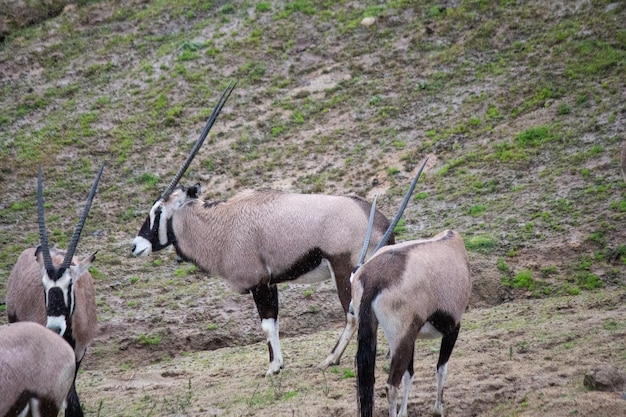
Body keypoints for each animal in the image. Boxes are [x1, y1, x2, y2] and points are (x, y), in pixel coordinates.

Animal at [130, 81, 394, 374]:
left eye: (158, 211)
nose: (135, 246)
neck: (220, 224)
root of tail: (378, 219)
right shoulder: (270, 284)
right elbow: (274, 325)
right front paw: (276, 364)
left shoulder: (260, 284)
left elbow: (267, 326)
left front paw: (274, 367)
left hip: (344, 271)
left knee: (352, 315)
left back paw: (330, 359)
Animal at [348, 194, 470, 416]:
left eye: (351, 280)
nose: (352, 310)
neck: (451, 241)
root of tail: (374, 278)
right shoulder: (453, 327)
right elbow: (441, 367)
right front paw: (438, 409)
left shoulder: (411, 338)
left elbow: (410, 375)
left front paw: (404, 412)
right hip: (403, 337)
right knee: (391, 385)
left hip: (391, 337)